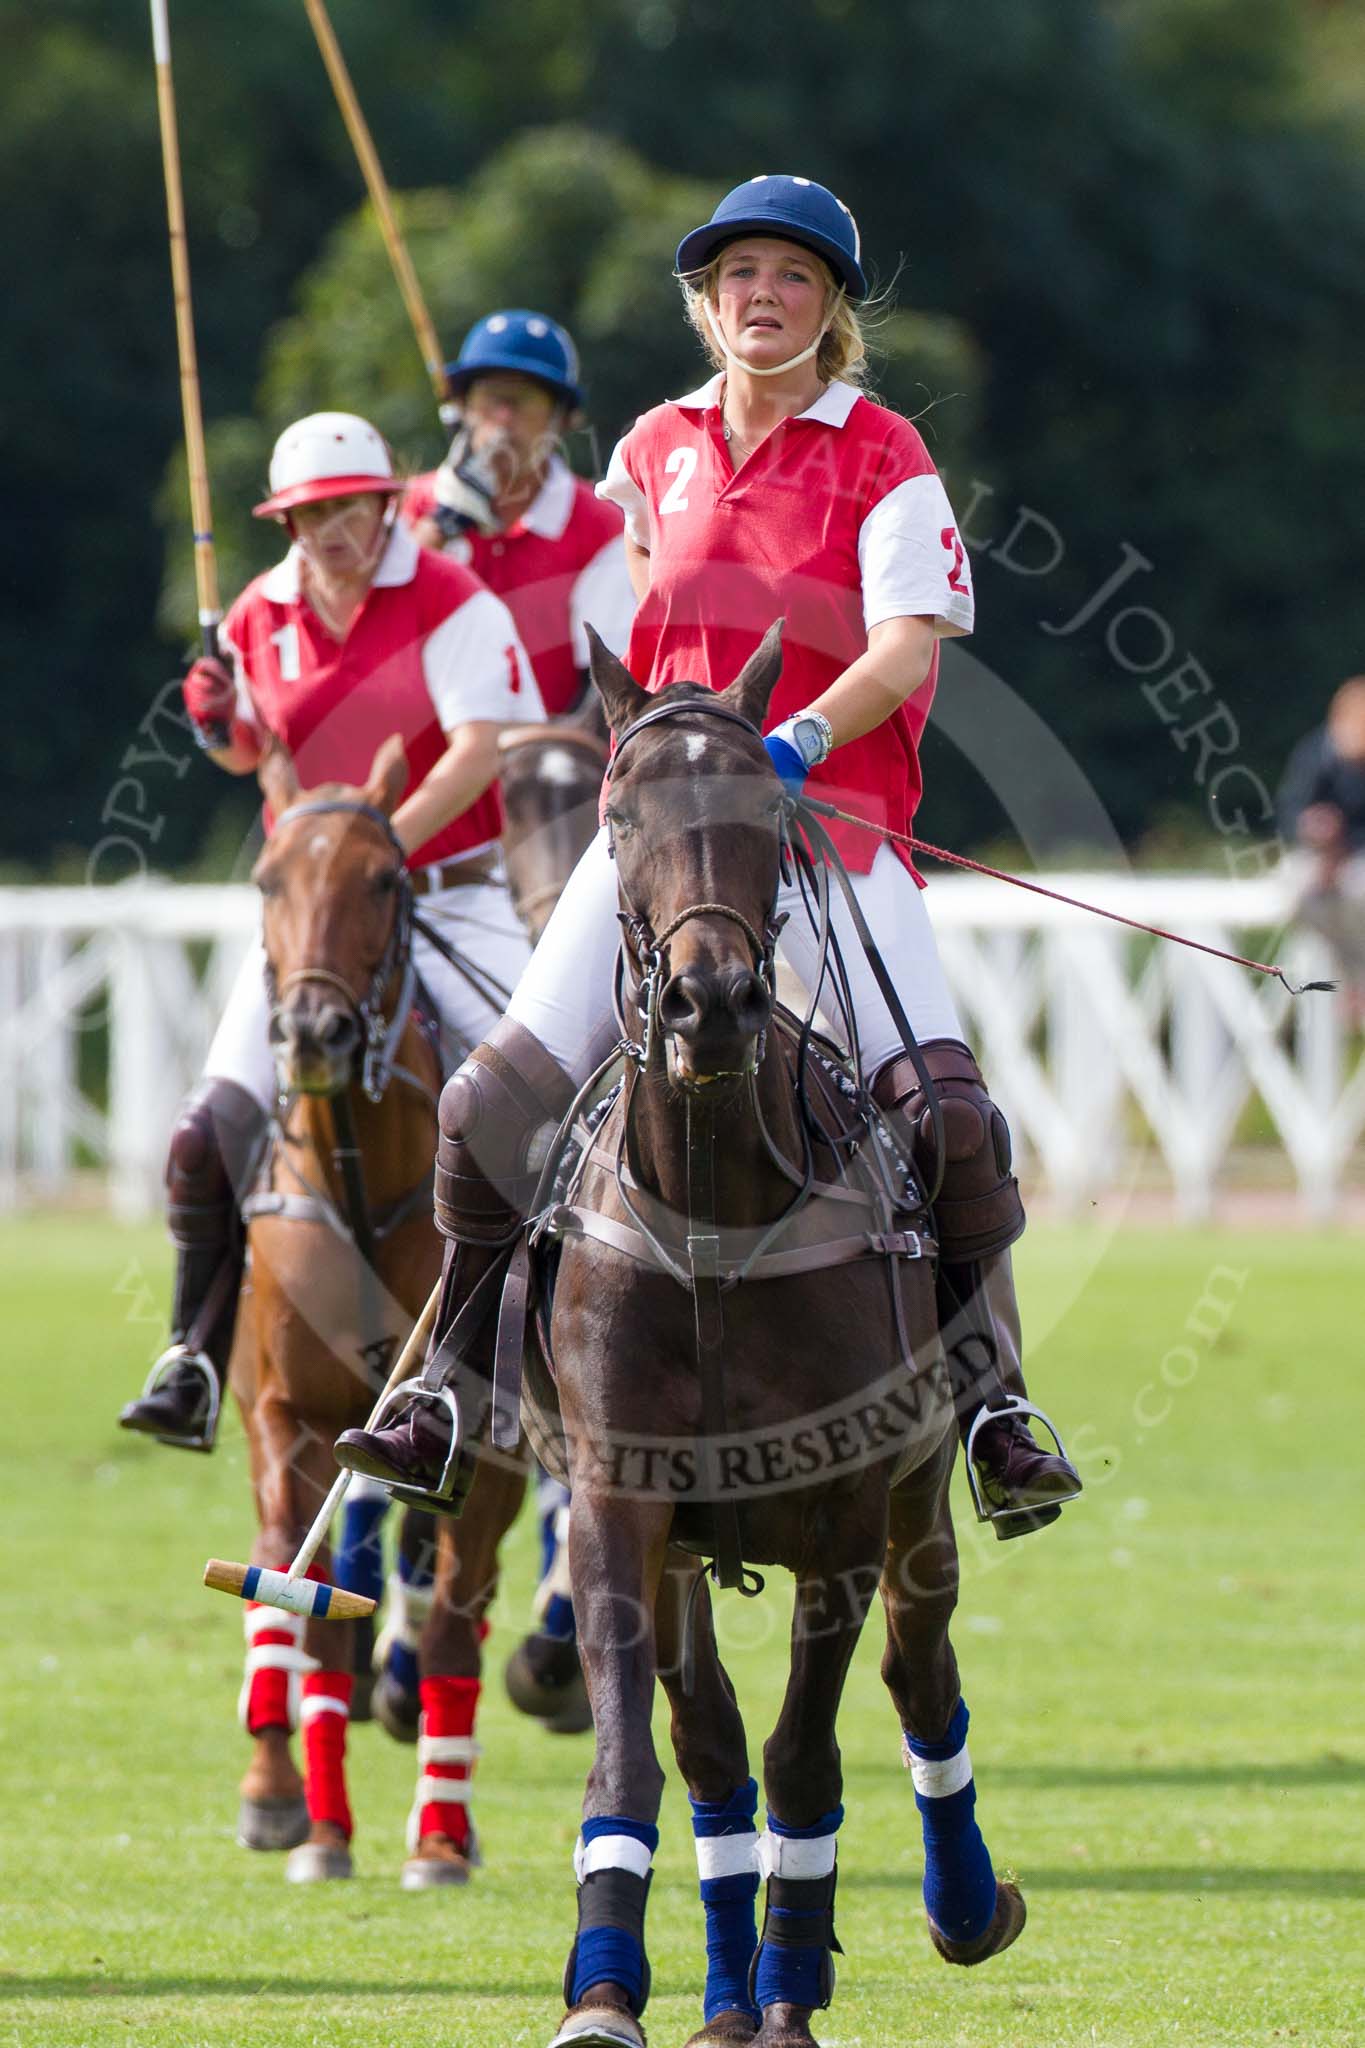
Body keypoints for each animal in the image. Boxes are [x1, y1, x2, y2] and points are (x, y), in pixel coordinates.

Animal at [232, 737, 527, 1884]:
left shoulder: (491, 1443)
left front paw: (439, 1834)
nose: (313, 1030)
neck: (364, 1179)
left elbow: (449, 1621)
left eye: (383, 881)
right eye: (267, 880)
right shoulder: (299, 1416)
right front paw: (312, 1822)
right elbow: (306, 1610)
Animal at [523, 630, 1023, 2039]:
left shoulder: (848, 1513)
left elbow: (809, 1754)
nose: (710, 1002)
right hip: (690, 1552)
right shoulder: (616, 1500)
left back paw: (959, 1908)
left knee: (919, 1675)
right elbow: (643, 1756)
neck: (716, 1212)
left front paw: (794, 1997)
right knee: (709, 1742)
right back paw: (722, 1984)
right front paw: (606, 1993)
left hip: (919, 1502)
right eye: (622, 815)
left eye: (765, 809)